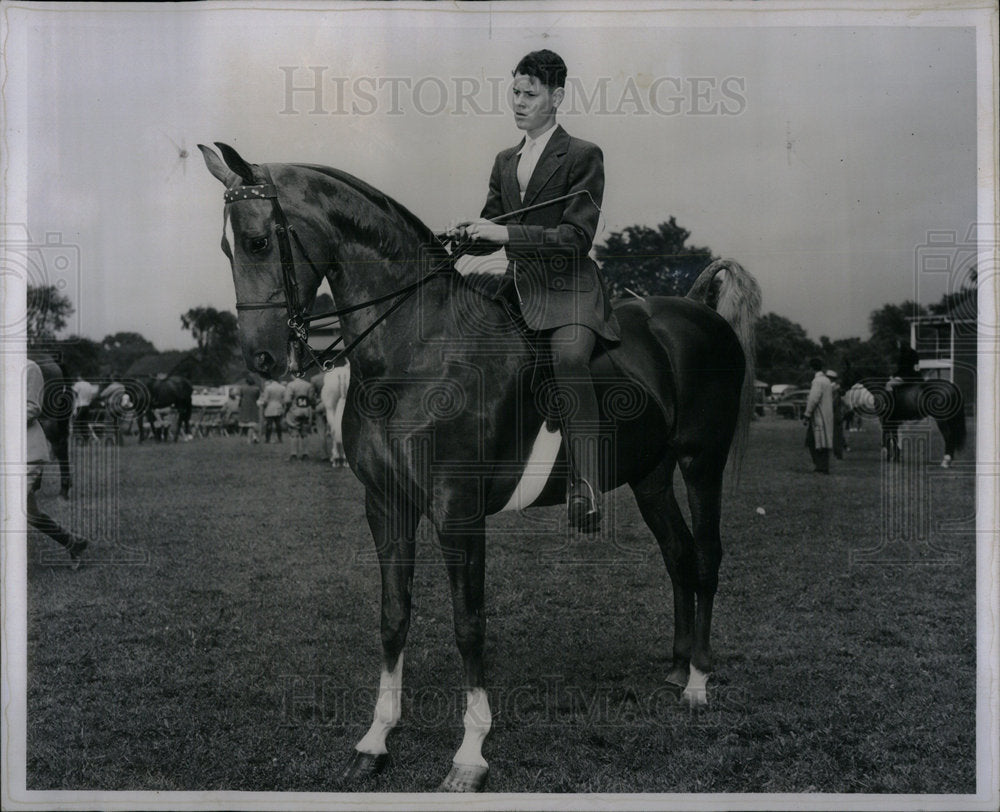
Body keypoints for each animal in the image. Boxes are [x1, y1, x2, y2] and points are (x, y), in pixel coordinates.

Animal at [201, 143, 764, 788]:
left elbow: (468, 623)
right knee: (678, 556)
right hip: (650, 476)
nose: (263, 357)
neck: (418, 351)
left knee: (707, 556)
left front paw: (470, 752)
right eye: (228, 248)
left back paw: (697, 682)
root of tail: (695, 310)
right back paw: (675, 669)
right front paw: (376, 738)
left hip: (701, 463)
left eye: (257, 241)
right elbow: (394, 615)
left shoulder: (458, 511)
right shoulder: (386, 505)